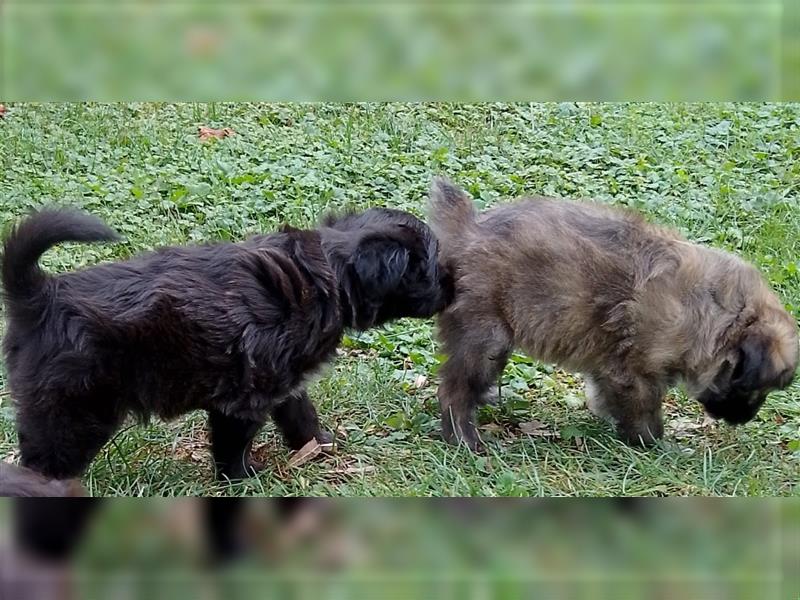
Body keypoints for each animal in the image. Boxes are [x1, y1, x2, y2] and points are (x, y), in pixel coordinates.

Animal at [1, 206, 450, 478]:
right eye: (431, 268)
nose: (455, 283)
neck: (331, 273)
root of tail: (40, 294)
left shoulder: (286, 382)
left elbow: (301, 415)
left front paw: (318, 445)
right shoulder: (244, 398)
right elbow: (232, 446)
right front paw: (242, 480)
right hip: (74, 413)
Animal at [432, 178, 800, 450]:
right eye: (754, 389)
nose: (746, 419)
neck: (715, 314)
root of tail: (467, 230)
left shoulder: (611, 366)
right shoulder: (636, 372)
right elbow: (644, 414)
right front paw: (656, 445)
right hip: (487, 339)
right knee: (454, 392)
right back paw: (465, 439)